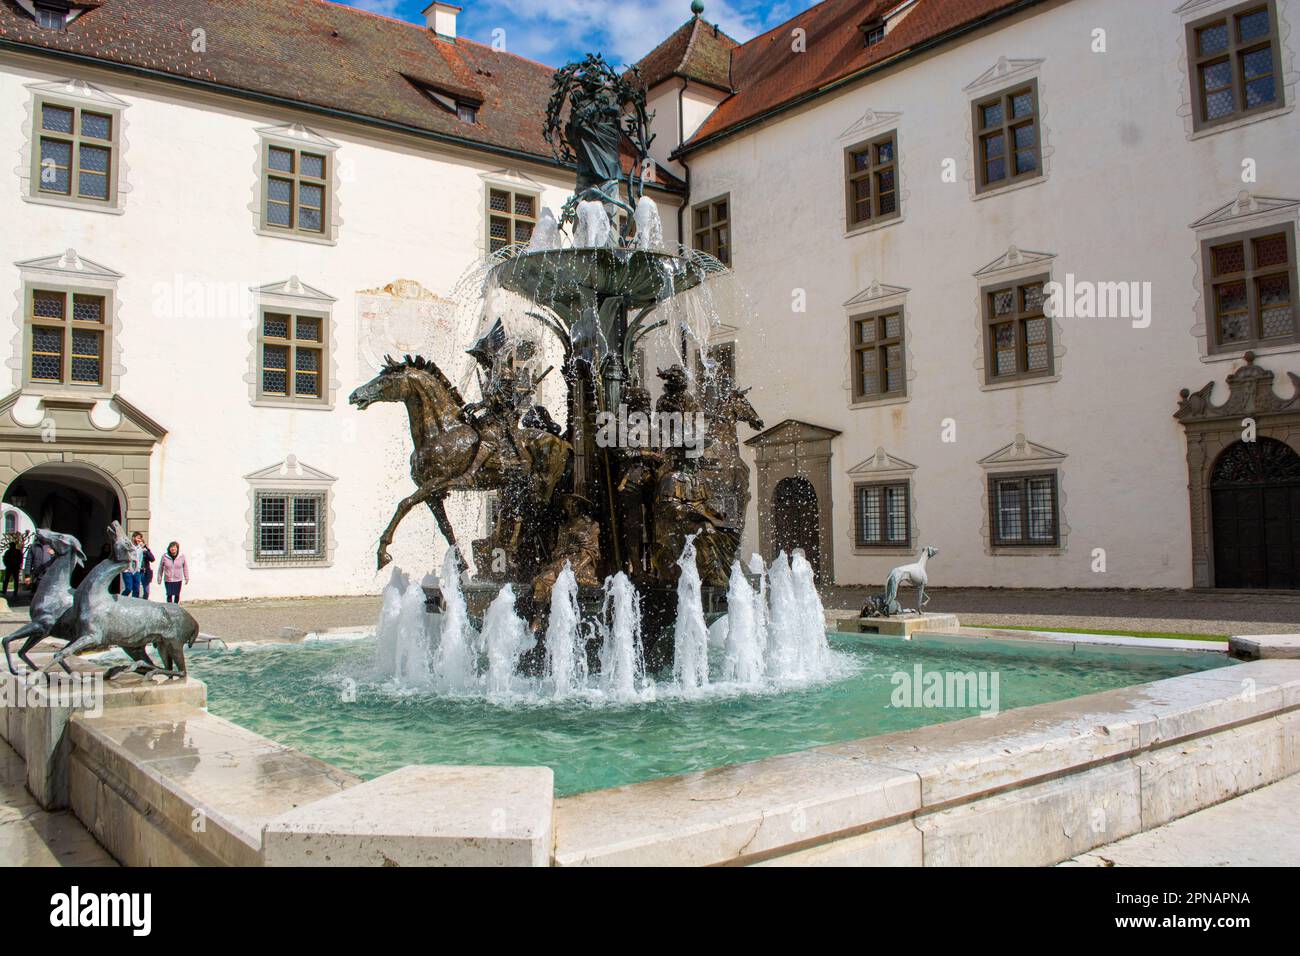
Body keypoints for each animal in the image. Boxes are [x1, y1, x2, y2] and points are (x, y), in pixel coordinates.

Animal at [351, 356, 569, 567]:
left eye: (385, 380)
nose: (354, 395)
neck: (442, 431)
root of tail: (562, 442)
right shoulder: (432, 494)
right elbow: (445, 527)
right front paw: (460, 563)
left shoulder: (437, 481)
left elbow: (405, 503)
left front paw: (382, 553)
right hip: (515, 486)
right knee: (522, 515)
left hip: (541, 485)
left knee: (538, 515)